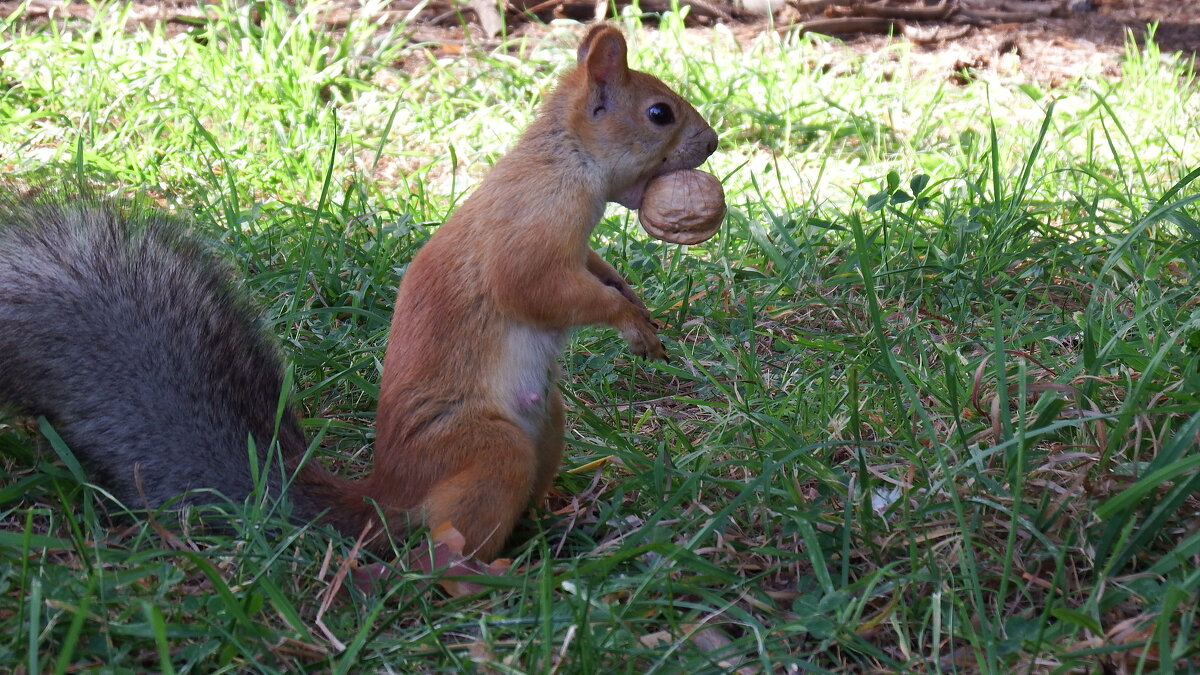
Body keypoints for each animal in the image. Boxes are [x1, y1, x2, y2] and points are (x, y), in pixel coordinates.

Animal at [0, 26, 710, 559]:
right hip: (487, 450)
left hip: (546, 427)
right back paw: (484, 578)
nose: (713, 142)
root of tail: (386, 496)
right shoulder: (529, 233)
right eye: (660, 113)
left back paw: (559, 522)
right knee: (443, 554)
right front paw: (625, 319)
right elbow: (539, 289)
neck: (564, 161)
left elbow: (592, 268)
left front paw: (629, 293)